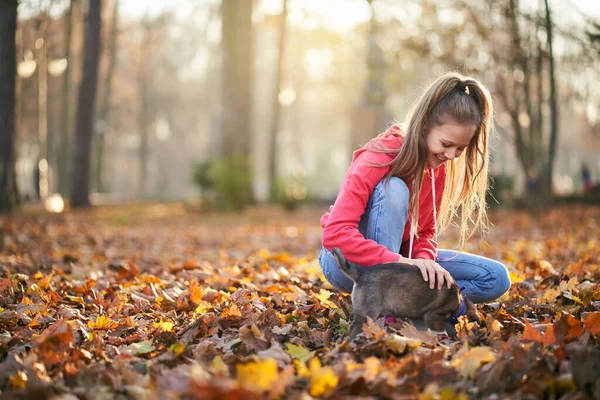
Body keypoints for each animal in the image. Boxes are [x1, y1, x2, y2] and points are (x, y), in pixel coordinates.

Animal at [330, 248, 480, 340]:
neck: (459, 303)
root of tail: (361, 274)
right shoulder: (434, 316)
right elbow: (441, 331)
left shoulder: (419, 318)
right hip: (368, 312)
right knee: (354, 328)